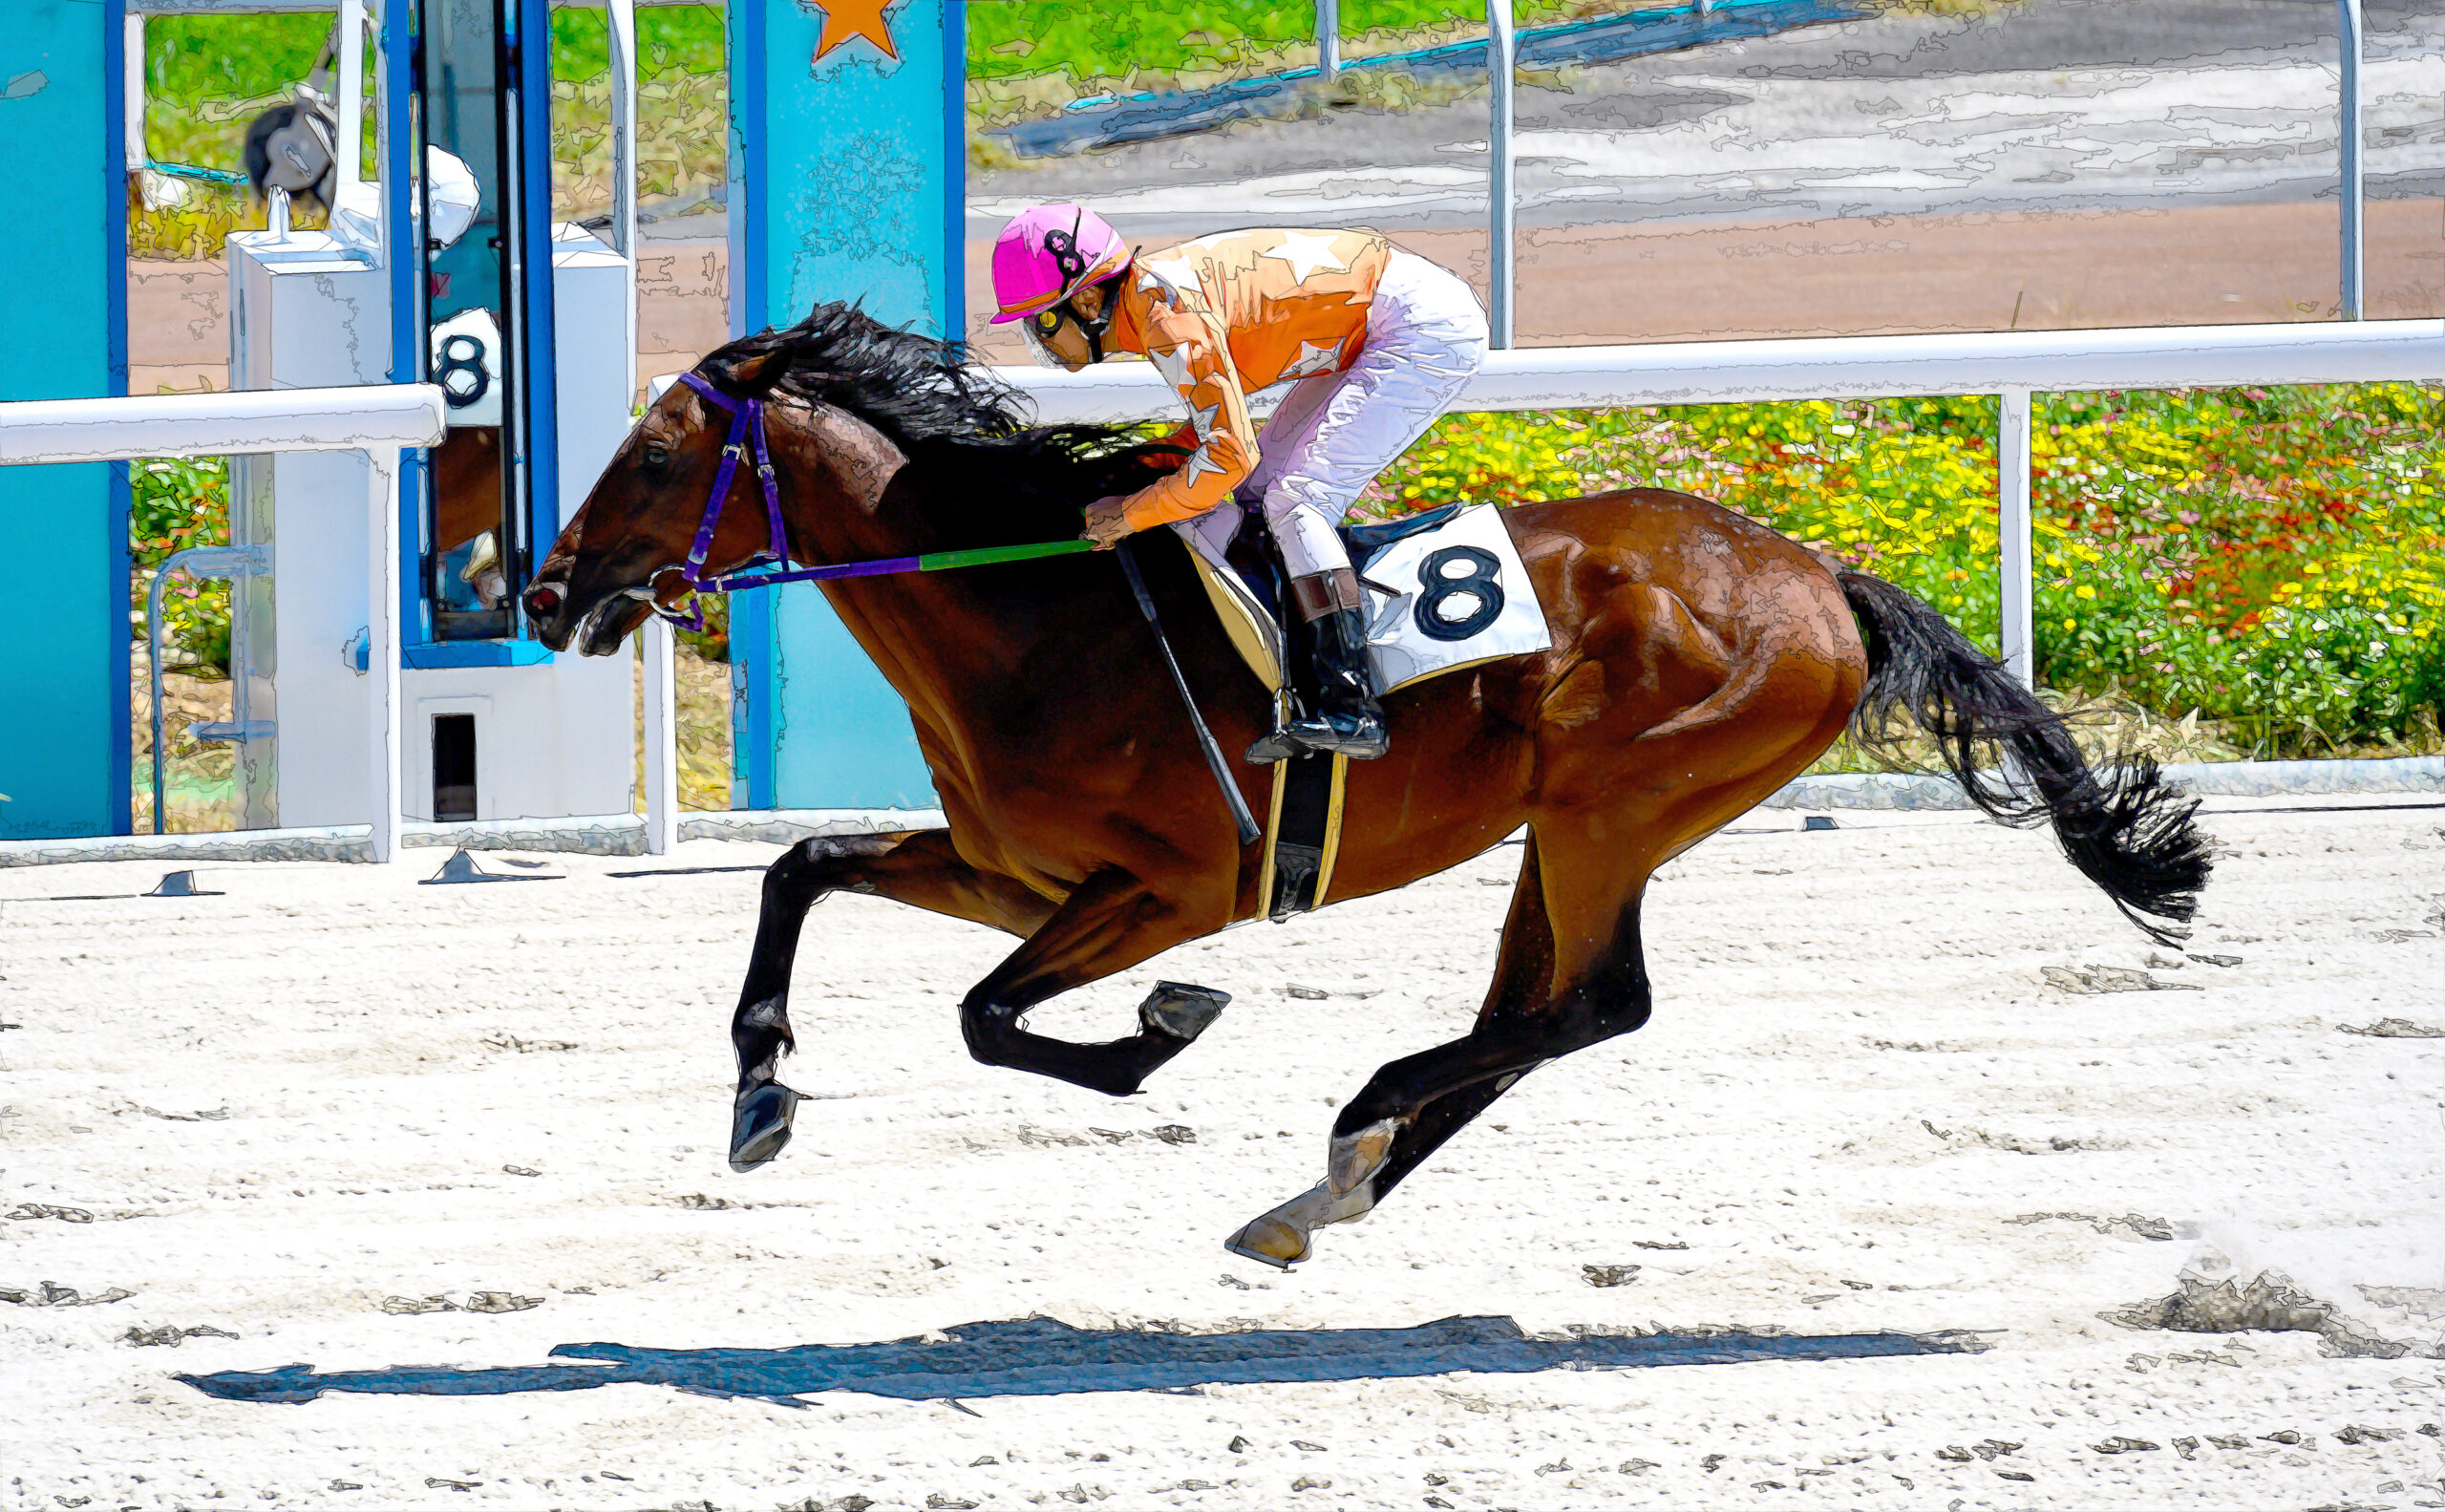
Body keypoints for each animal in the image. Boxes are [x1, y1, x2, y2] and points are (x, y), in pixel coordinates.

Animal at [522, 303, 2210, 1268]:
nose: (542, 591)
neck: (1033, 611)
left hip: (1614, 807)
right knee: (1541, 1009)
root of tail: (1822, 575)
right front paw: (758, 1085)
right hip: (1565, 826)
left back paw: (1357, 1122)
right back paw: (1324, 1190)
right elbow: (802, 864)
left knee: (1592, 1004)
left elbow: (990, 1015)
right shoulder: (1013, 869)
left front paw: (1158, 1032)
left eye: (657, 454)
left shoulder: (1176, 886)